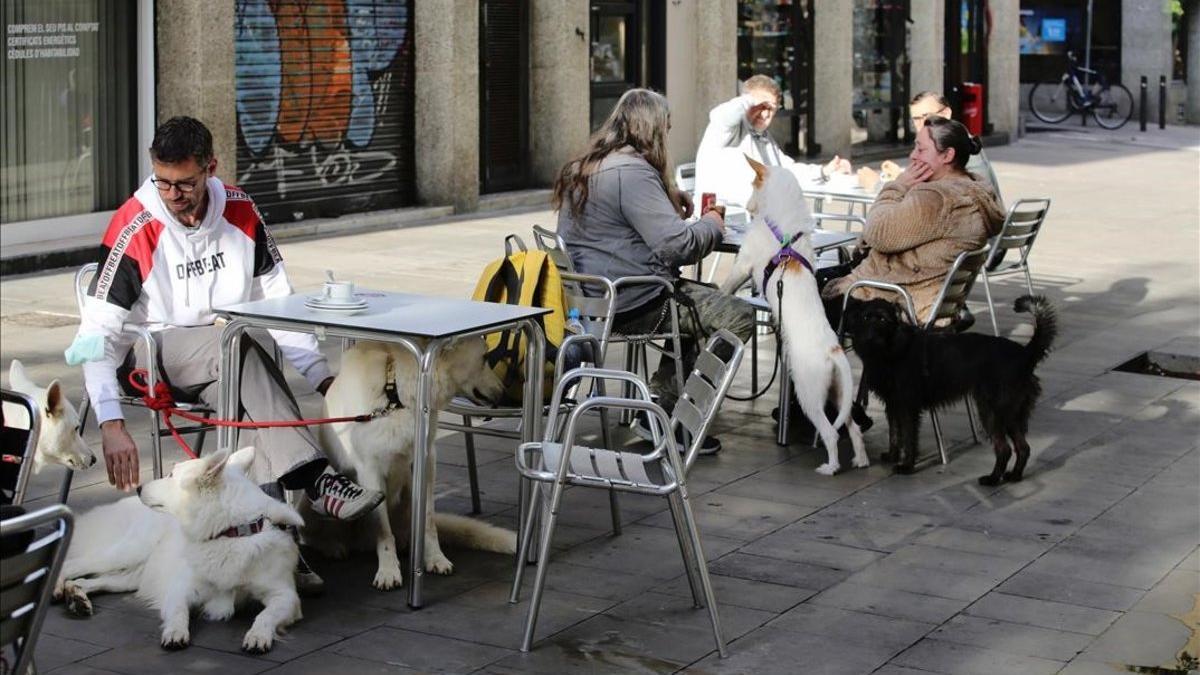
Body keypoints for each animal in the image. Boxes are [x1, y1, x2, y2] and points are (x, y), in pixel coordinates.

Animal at [300, 336, 516, 588]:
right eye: (484, 357)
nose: (504, 394)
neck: (395, 394)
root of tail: (360, 542)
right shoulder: (370, 472)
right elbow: (384, 532)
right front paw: (388, 571)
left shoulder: (426, 463)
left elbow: (428, 522)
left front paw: (435, 558)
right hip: (310, 499)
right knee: (314, 535)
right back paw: (333, 546)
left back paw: (406, 544)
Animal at [715, 157, 868, 473]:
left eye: (752, 185)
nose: (747, 208)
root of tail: (834, 351)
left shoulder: (743, 264)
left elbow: (730, 284)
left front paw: (720, 291)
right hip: (838, 394)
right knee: (854, 428)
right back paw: (860, 460)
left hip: (809, 394)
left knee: (832, 433)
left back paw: (830, 467)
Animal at [849, 293, 1056, 478]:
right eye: (866, 317)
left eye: (883, 319)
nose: (869, 338)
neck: (892, 348)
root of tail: (1025, 353)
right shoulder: (893, 404)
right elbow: (894, 434)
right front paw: (893, 456)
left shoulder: (907, 407)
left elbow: (908, 437)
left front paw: (907, 466)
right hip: (1011, 415)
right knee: (1023, 447)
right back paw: (1014, 476)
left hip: (992, 412)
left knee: (1004, 449)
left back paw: (993, 479)